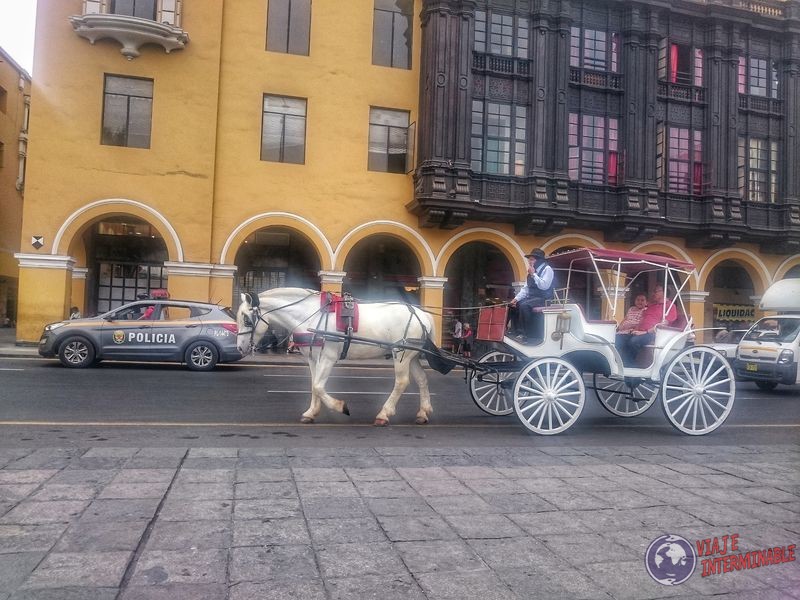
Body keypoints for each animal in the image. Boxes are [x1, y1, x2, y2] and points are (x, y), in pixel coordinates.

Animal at [238, 288, 438, 424]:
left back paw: (384, 414)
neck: (312, 315)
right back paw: (423, 412)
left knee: (402, 382)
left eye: (247, 319)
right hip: (412, 355)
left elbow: (318, 386)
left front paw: (340, 407)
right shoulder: (313, 358)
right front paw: (311, 412)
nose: (239, 348)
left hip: (401, 353)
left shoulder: (327, 358)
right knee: (422, 379)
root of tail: (421, 314)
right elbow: (314, 385)